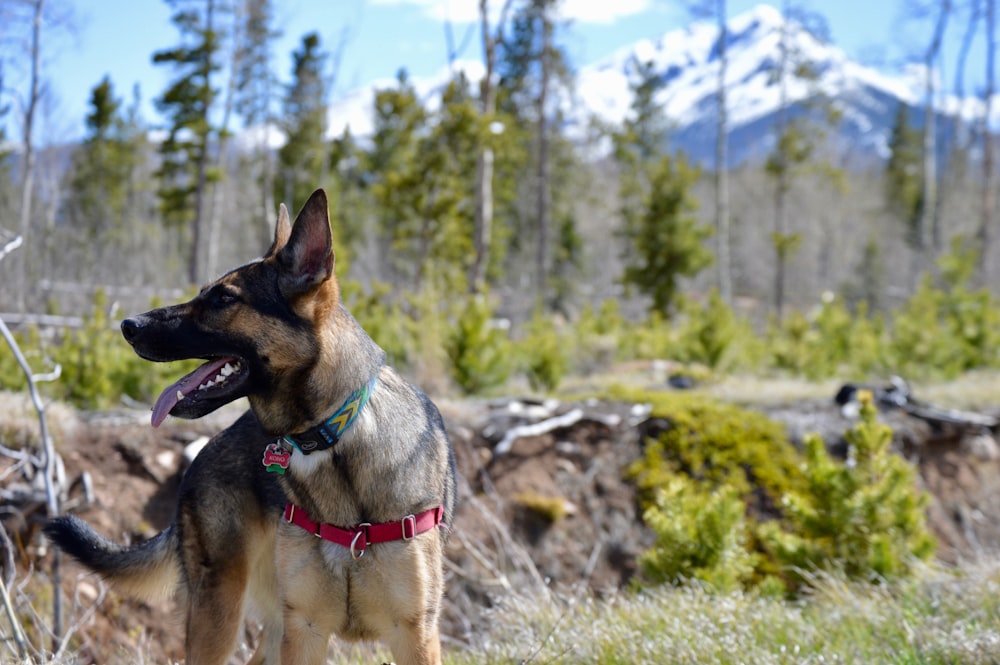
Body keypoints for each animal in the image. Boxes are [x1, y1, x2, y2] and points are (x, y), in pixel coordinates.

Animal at [43, 188, 458, 664]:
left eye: (223, 299)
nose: (129, 325)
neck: (332, 439)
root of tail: (199, 459)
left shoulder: (414, 635)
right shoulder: (306, 631)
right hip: (220, 613)